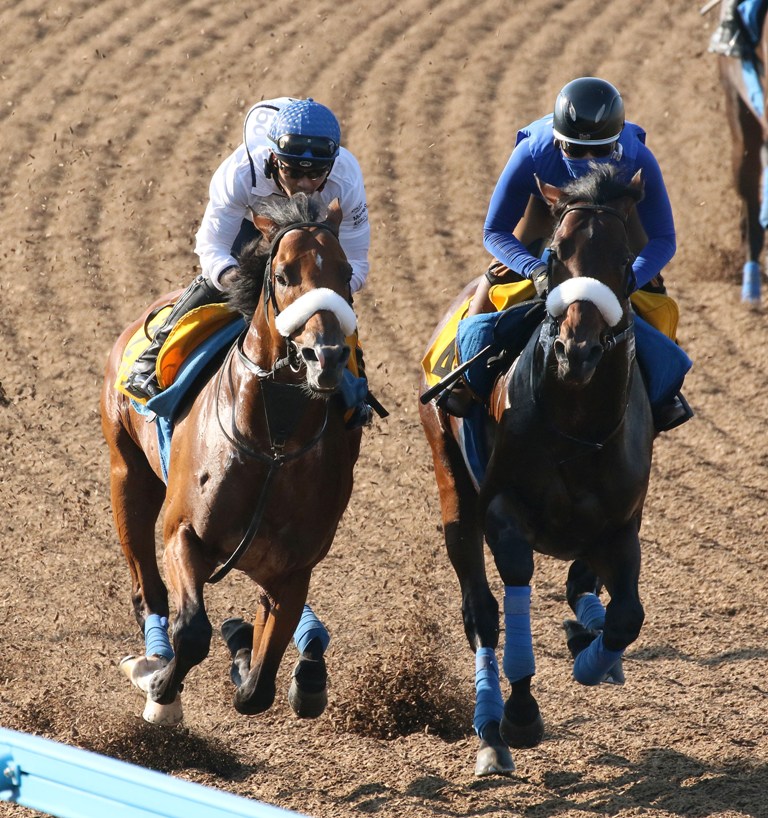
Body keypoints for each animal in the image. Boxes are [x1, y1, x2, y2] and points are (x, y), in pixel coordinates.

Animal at [100, 194, 362, 724]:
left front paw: (246, 646)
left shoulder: (292, 571)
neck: (272, 447)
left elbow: (257, 687)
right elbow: (192, 632)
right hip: (128, 473)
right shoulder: (182, 534)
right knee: (147, 589)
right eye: (283, 275)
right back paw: (151, 662)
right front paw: (161, 691)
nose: (326, 356)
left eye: (345, 272)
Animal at [420, 164, 656, 772]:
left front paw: (591, 655)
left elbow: (627, 616)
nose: (578, 350)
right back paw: (490, 732)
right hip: (452, 478)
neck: (574, 424)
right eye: (555, 253)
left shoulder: (621, 526)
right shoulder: (505, 511)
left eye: (626, 259)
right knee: (481, 611)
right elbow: (516, 583)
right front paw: (522, 713)